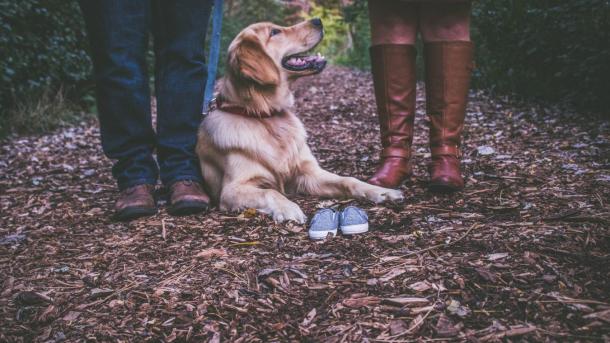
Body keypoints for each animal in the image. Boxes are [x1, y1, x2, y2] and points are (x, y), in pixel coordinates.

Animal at [196, 18, 404, 224]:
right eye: (274, 32)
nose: (318, 20)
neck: (264, 116)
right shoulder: (231, 189)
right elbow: (270, 192)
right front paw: (288, 208)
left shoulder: (309, 173)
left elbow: (348, 179)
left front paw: (381, 191)